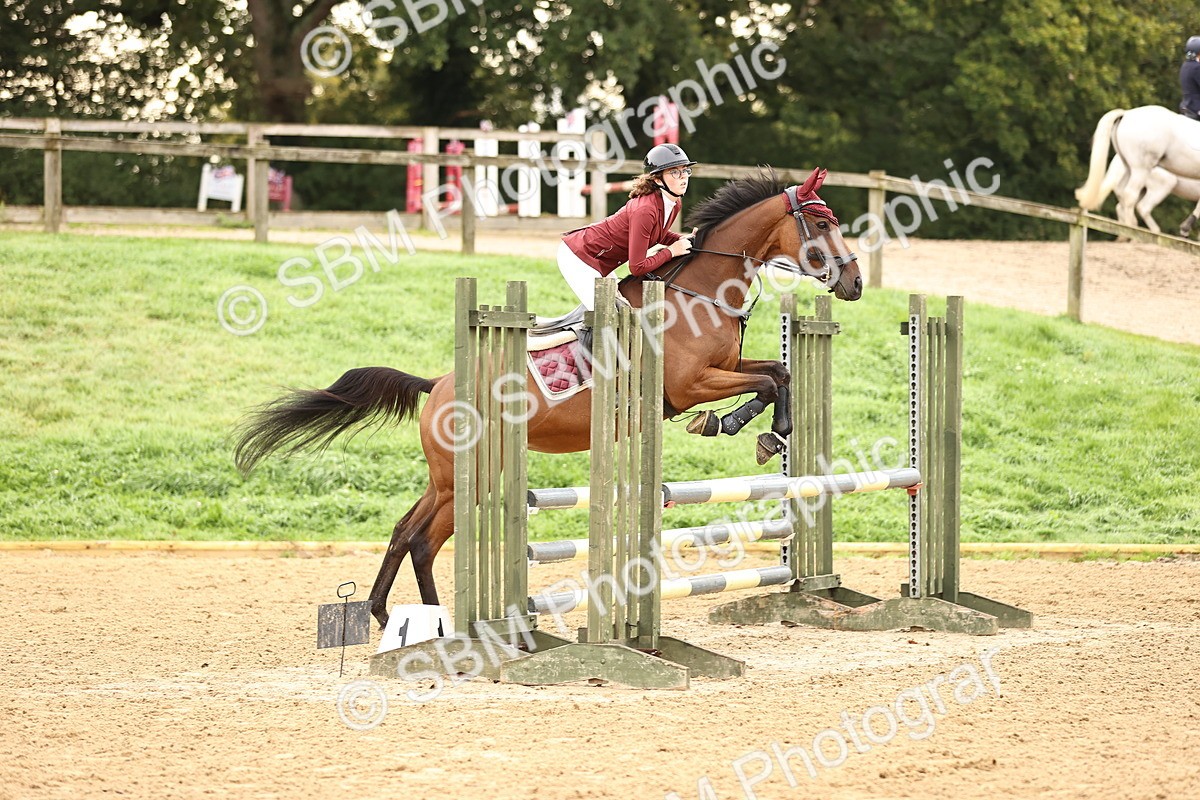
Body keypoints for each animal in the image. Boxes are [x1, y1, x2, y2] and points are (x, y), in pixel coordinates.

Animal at [234, 167, 863, 629]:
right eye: (821, 220)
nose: (855, 283)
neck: (700, 291)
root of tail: (437, 386)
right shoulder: (688, 385)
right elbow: (765, 383)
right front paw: (736, 427)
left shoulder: (724, 369)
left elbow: (779, 372)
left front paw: (765, 432)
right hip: (468, 475)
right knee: (420, 540)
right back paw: (438, 624)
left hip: (449, 478)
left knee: (406, 532)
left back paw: (392, 616)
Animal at [1075, 106, 1200, 235]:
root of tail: (1127, 113)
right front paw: (1186, 228)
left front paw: (1186, 227)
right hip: (1150, 176)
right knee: (1136, 200)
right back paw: (1134, 230)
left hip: (1129, 169)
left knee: (1123, 199)